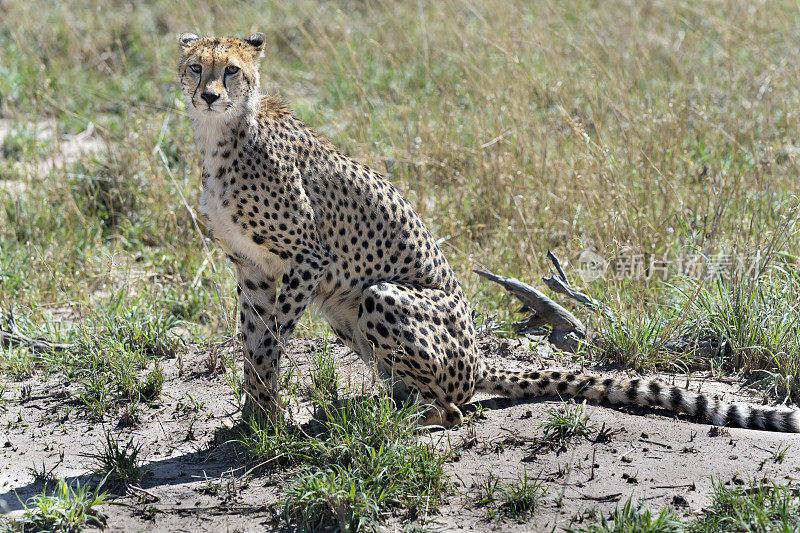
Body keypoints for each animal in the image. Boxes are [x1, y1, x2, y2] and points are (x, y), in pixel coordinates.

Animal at [177, 32, 800, 432]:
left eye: (231, 70)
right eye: (195, 67)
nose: (208, 94)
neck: (220, 134)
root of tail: (480, 356)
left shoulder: (310, 255)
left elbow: (273, 337)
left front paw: (264, 418)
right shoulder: (253, 268)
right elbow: (253, 339)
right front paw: (251, 420)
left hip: (379, 296)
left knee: (456, 407)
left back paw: (400, 419)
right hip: (346, 316)